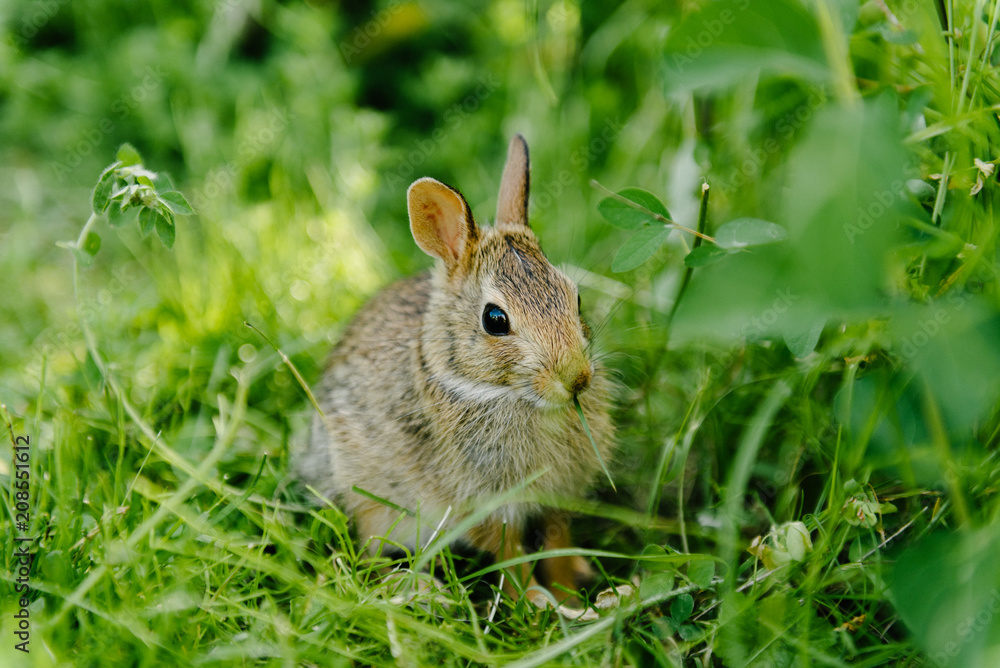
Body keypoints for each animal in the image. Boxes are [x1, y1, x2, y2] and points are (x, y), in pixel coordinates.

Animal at [299, 134, 614, 605]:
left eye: (575, 298)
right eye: (495, 320)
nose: (577, 379)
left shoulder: (557, 499)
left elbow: (556, 542)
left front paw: (570, 595)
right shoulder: (483, 502)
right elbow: (509, 553)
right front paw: (535, 600)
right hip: (369, 498)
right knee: (369, 552)